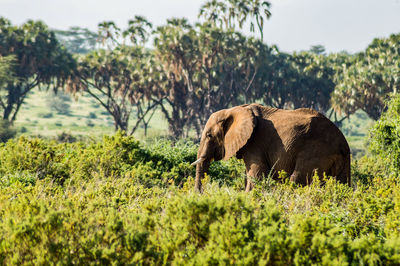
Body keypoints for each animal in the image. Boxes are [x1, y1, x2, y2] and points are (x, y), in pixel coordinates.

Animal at [191, 103, 350, 192]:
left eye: (209, 135)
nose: (199, 195)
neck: (234, 110)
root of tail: (342, 143)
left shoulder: (255, 142)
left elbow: (257, 174)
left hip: (315, 151)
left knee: (297, 179)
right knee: (342, 183)